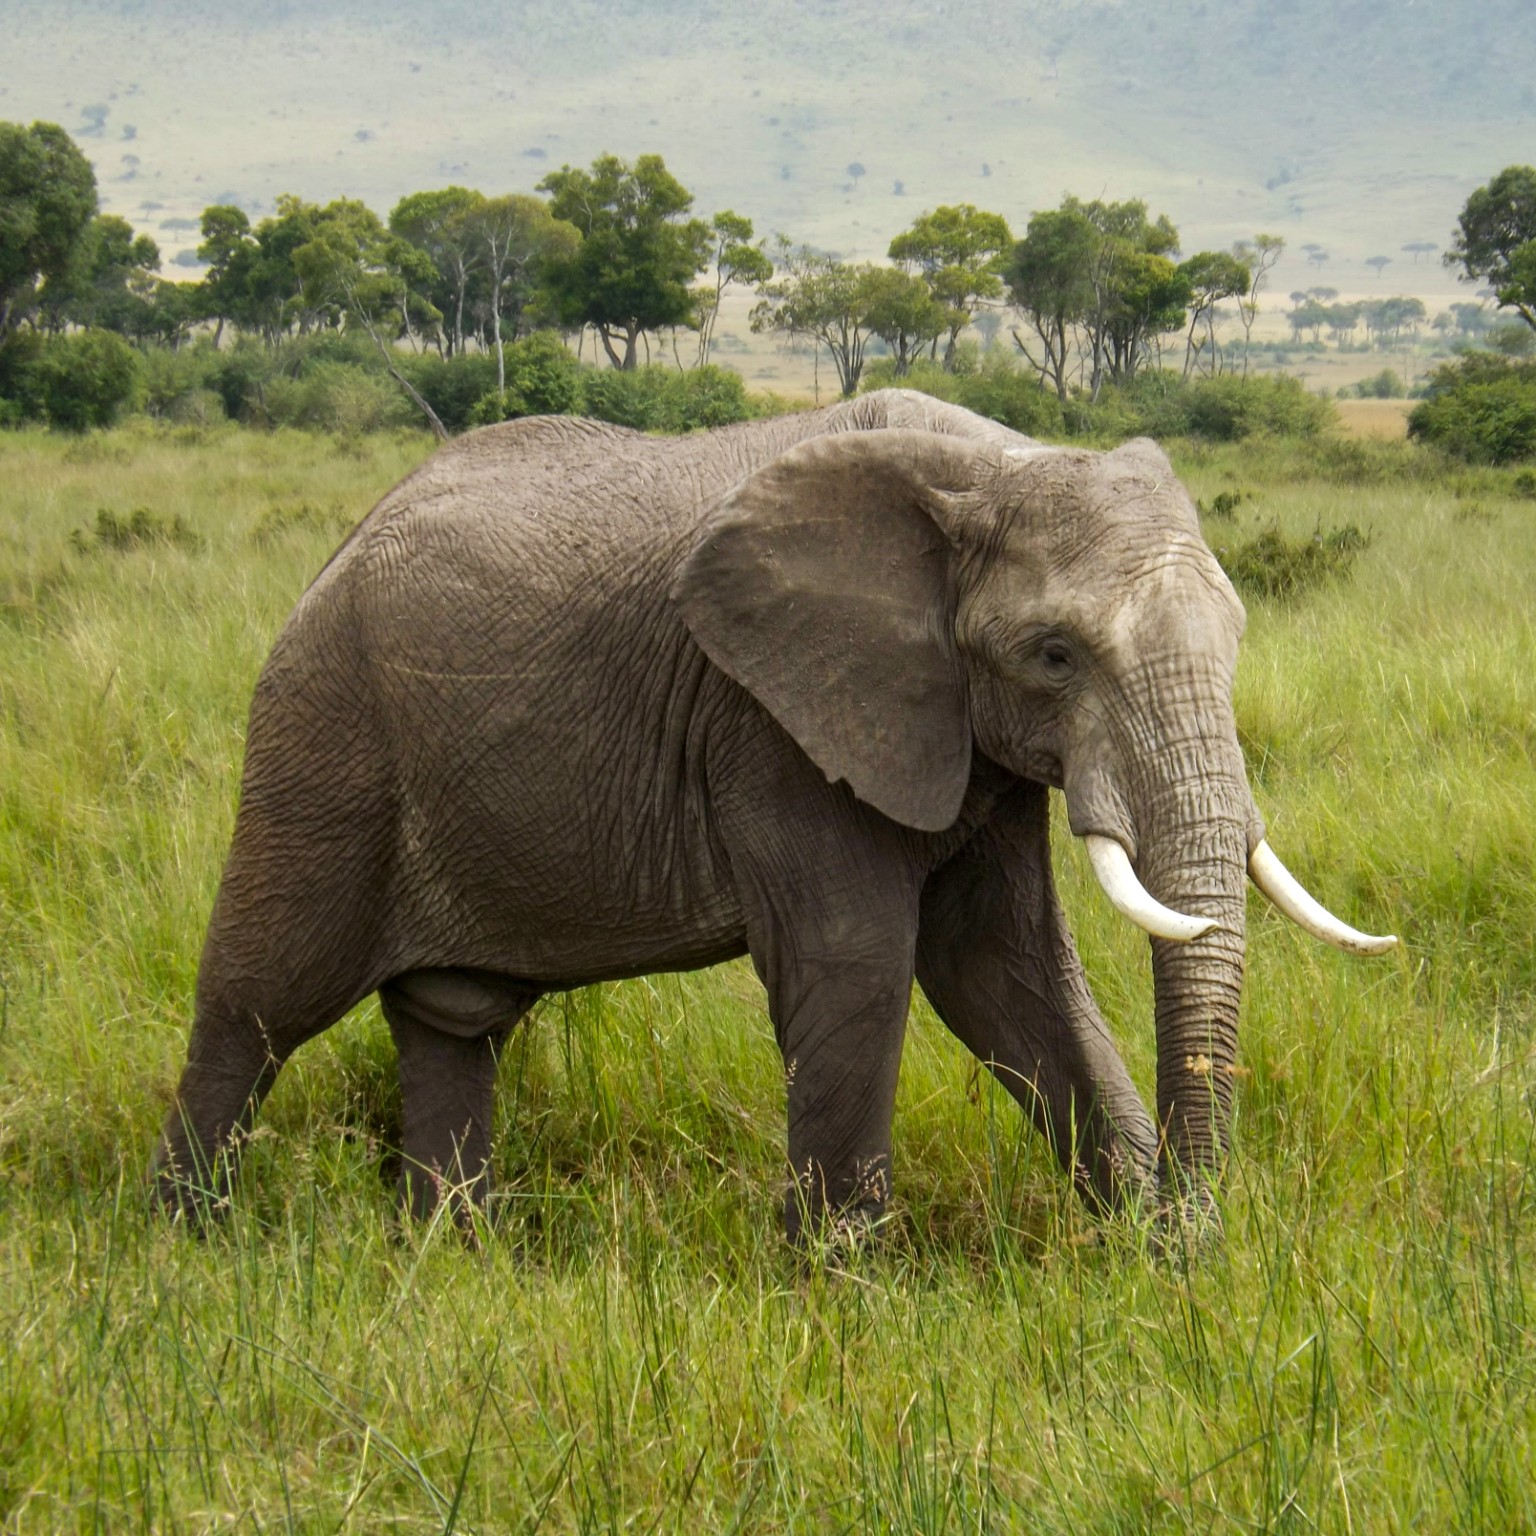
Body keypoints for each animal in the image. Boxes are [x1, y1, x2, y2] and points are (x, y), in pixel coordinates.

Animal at [151, 389, 1395, 1243]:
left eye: (1237, 633)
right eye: (1054, 654)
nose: (1193, 1223)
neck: (991, 464)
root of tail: (340, 548)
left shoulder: (954, 734)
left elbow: (1003, 970)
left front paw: (1156, 1258)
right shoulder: (770, 719)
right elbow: (860, 966)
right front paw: (845, 1293)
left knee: (452, 1023)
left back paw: (454, 1256)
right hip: (324, 735)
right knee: (260, 1000)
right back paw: (190, 1248)